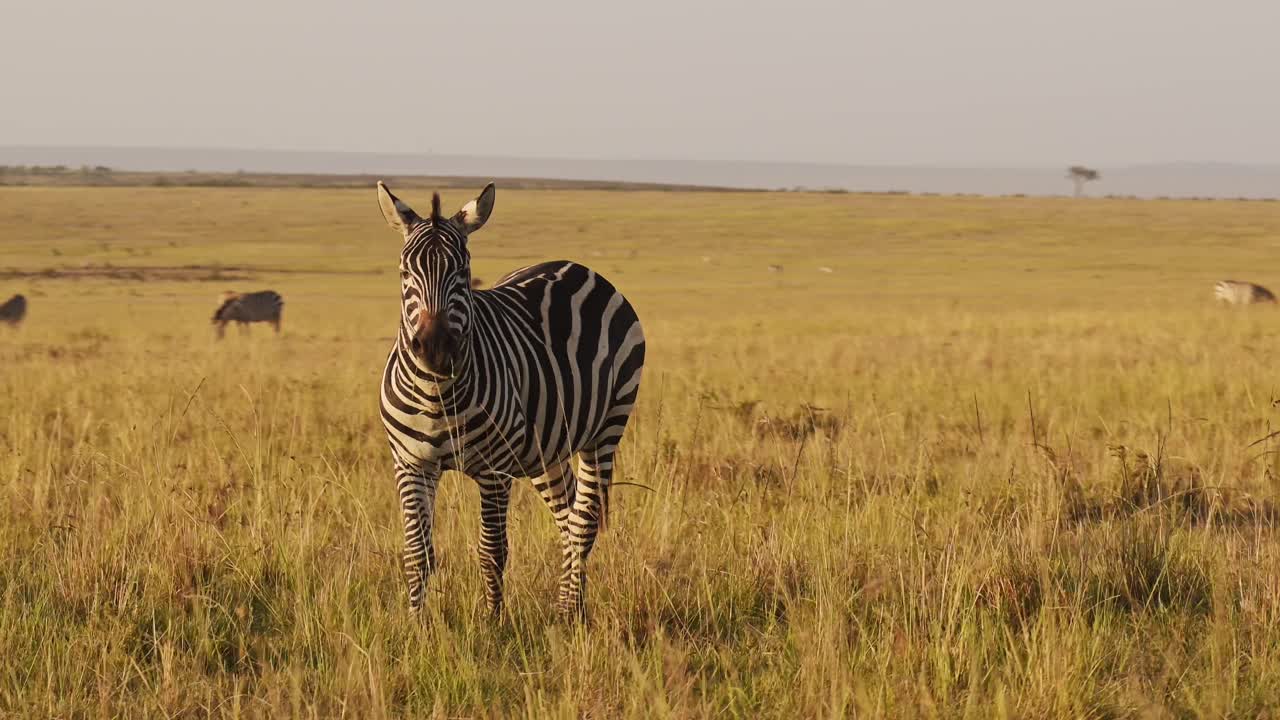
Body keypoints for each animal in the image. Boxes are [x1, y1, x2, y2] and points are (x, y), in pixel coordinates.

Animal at [376, 181, 645, 619]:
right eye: (404, 273)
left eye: (463, 273)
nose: (435, 349)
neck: (437, 395)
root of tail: (576, 267)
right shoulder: (412, 464)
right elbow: (418, 553)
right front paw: (415, 623)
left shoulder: (495, 470)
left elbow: (492, 551)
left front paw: (493, 622)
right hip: (546, 449)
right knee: (569, 516)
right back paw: (570, 606)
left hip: (606, 428)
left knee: (583, 521)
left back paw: (569, 613)